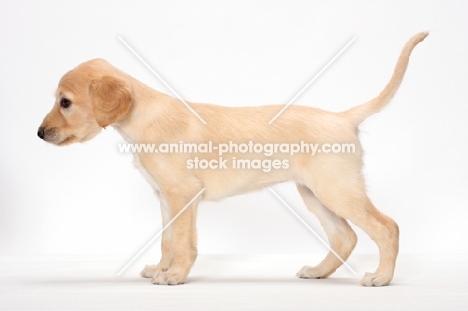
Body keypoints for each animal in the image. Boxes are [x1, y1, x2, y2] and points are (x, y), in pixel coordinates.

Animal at [38, 32, 430, 288]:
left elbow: (182, 242)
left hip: (337, 190)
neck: (143, 118)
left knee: (386, 227)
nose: (39, 134)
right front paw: (161, 268)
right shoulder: (165, 198)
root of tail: (343, 117)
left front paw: (175, 275)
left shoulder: (183, 195)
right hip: (315, 194)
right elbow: (167, 240)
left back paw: (382, 277)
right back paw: (319, 272)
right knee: (344, 237)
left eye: (65, 102)